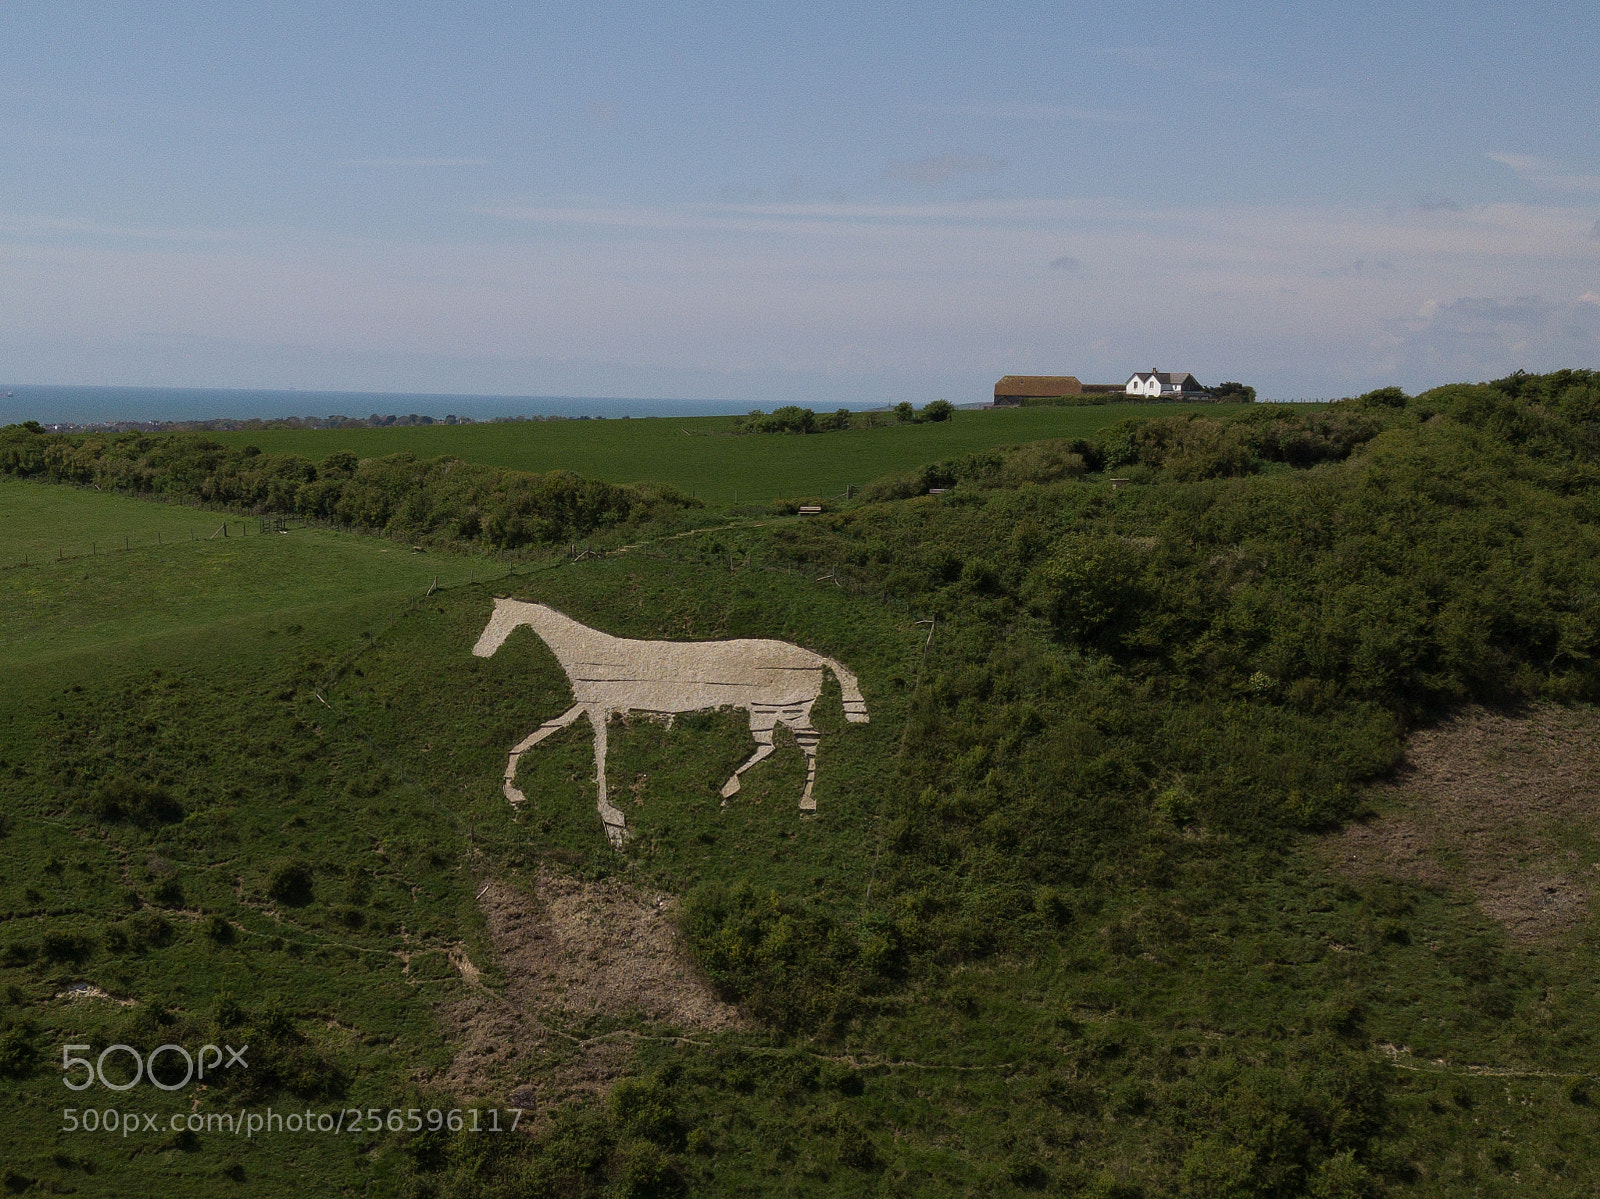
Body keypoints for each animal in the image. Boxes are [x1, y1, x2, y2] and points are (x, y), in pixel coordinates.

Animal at [472, 598, 869, 847]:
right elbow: (538, 735)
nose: (479, 651)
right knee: (787, 744)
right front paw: (513, 791)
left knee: (796, 743)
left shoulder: (597, 707)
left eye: (497, 620)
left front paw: (611, 815)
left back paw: (782, 798)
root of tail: (818, 658)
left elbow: (599, 754)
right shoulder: (586, 705)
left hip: (778, 709)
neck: (586, 652)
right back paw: (755, 793)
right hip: (777, 711)